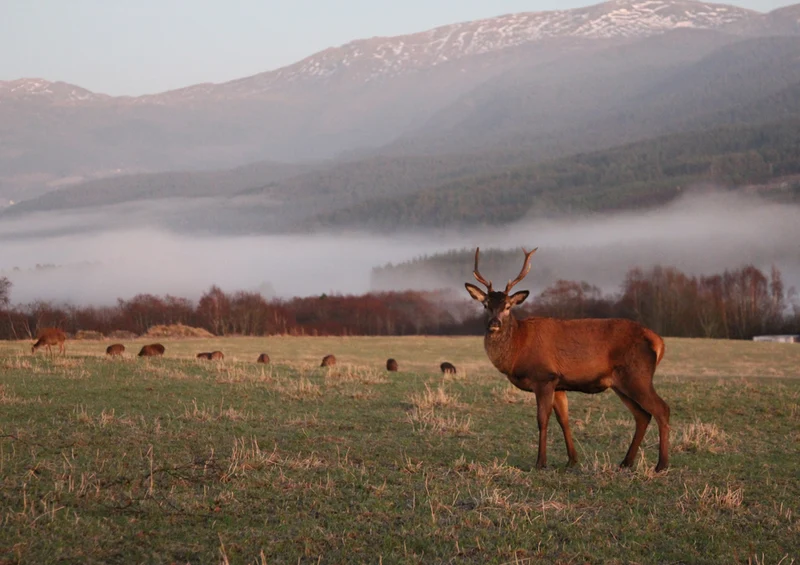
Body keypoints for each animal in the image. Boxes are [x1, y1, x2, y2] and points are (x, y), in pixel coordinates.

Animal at [465, 247, 670, 472]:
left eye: (508, 306)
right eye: (485, 305)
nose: (494, 323)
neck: (518, 349)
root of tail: (658, 341)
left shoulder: (544, 377)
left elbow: (542, 419)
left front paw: (541, 462)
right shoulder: (559, 384)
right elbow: (563, 419)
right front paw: (572, 459)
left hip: (638, 375)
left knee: (662, 409)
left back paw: (661, 464)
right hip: (621, 383)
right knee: (642, 415)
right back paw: (626, 462)